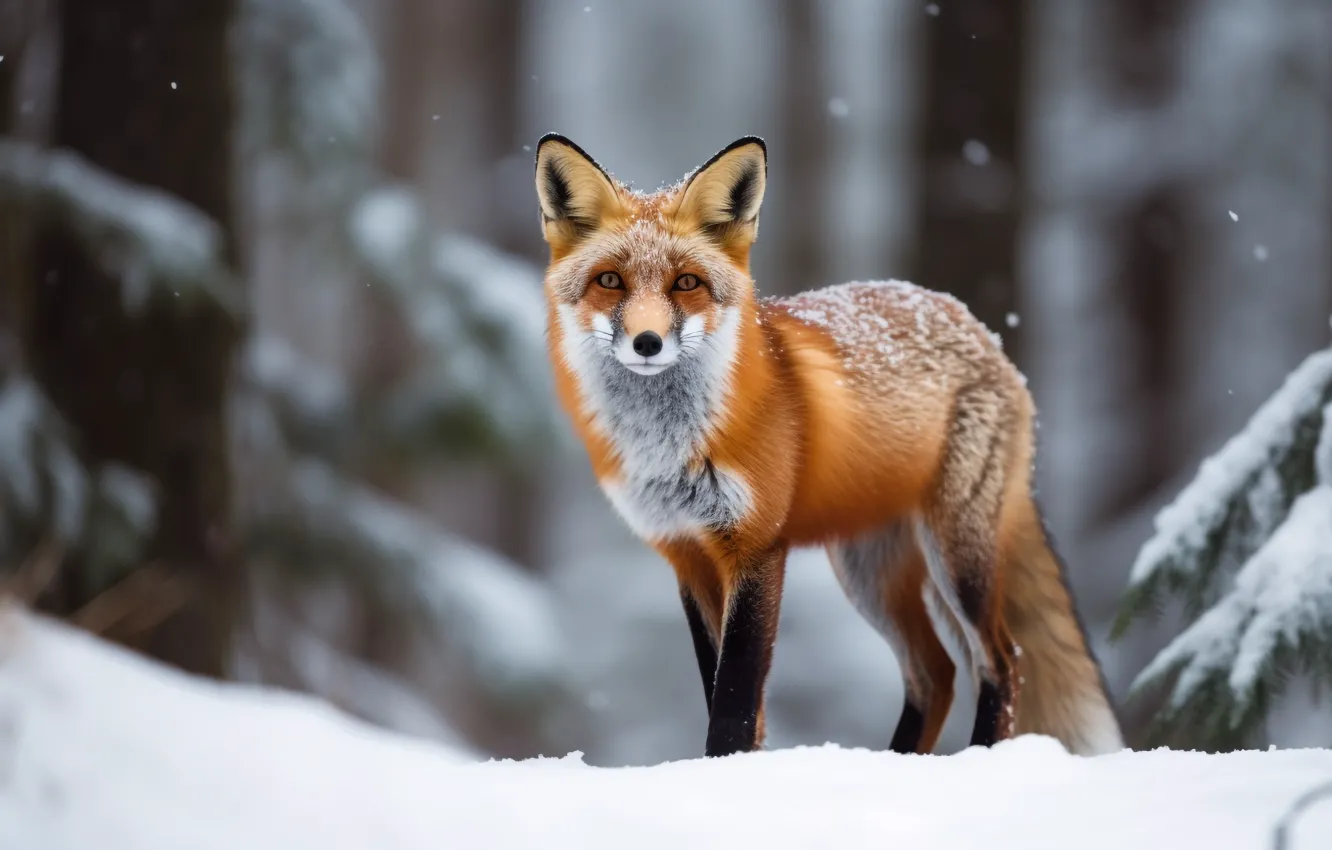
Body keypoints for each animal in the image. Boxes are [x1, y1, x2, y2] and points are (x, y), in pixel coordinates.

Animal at [532, 133, 1124, 759]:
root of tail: (978, 327)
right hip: (869, 573)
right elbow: (729, 697)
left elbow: (735, 703)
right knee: (935, 673)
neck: (671, 447)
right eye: (610, 281)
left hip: (956, 557)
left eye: (686, 283)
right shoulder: (687, 554)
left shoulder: (756, 548)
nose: (647, 342)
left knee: (1002, 661)